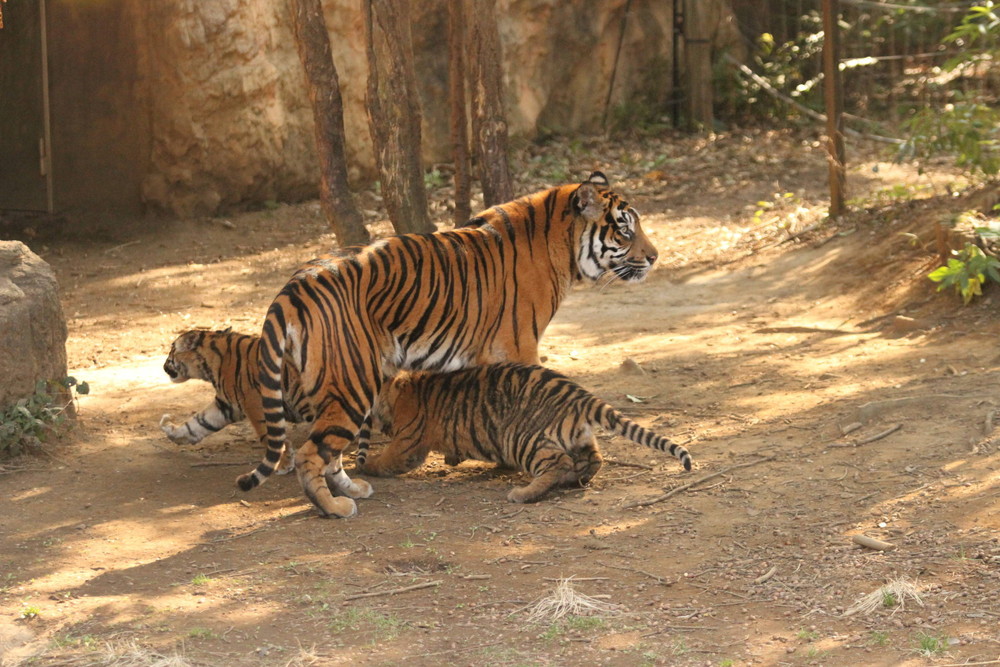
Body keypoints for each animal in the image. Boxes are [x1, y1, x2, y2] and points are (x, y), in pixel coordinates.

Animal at [252, 171, 656, 516]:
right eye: (624, 229)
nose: (654, 257)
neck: (560, 244)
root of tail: (296, 283)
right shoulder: (519, 344)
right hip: (352, 382)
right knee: (311, 453)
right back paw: (335, 507)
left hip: (336, 384)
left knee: (328, 448)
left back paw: (354, 489)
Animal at [360, 366, 696, 500]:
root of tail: (579, 395)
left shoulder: (407, 442)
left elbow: (386, 459)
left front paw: (364, 465)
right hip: (578, 437)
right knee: (593, 459)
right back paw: (576, 479)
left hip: (521, 438)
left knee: (557, 463)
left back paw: (523, 494)